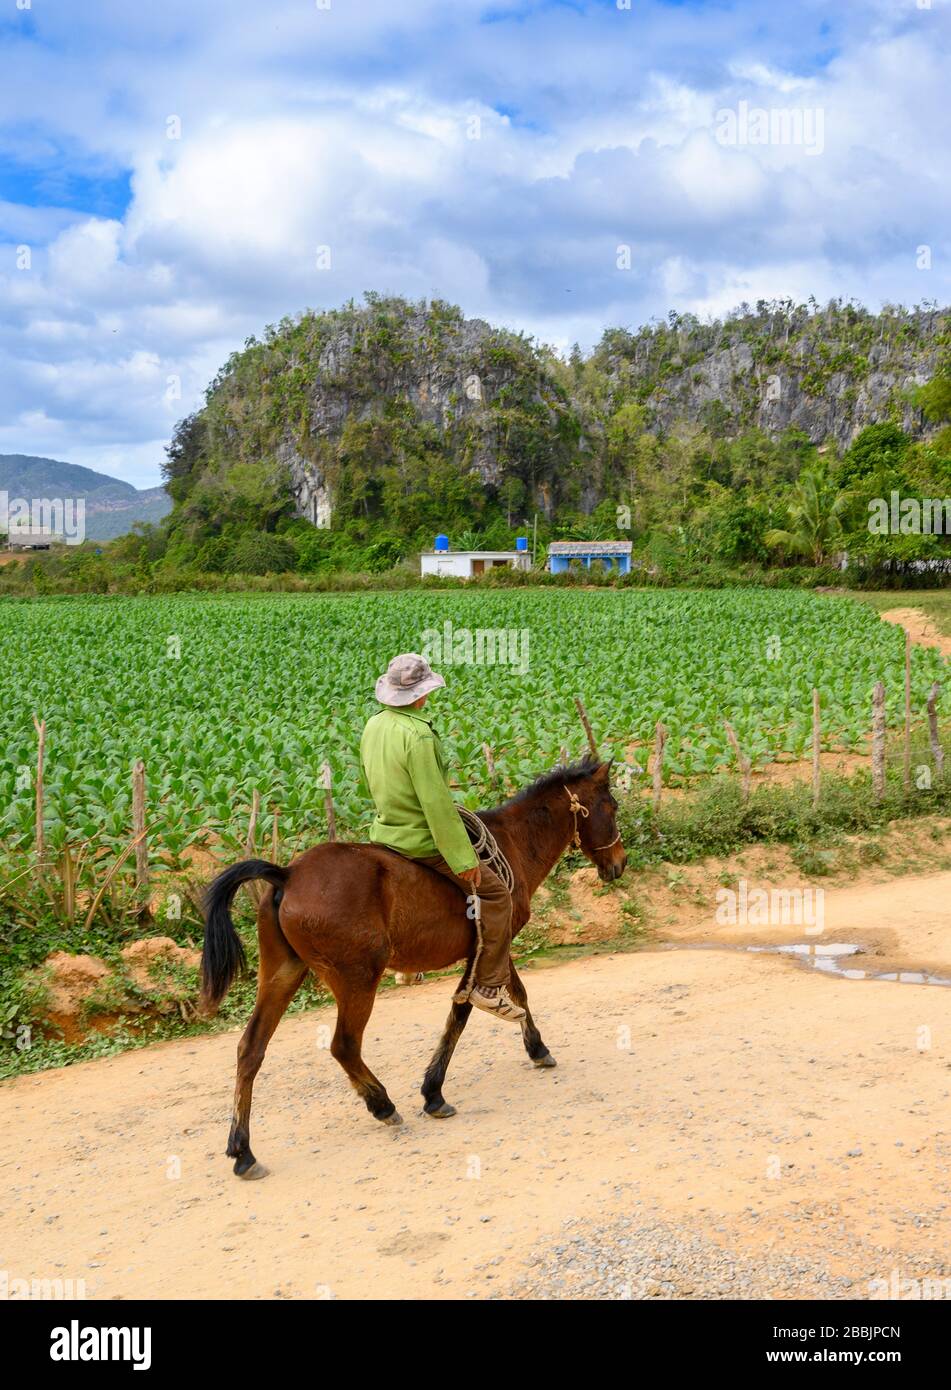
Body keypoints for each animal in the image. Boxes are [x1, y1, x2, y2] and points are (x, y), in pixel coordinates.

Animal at [202, 756, 622, 1178]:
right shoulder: (490, 939)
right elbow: (464, 1011)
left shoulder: (492, 944)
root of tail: (286, 875)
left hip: (283, 972)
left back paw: (243, 1150)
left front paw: (535, 1047)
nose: (620, 863)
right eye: (613, 806)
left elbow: (512, 992)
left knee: (251, 1049)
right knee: (344, 1045)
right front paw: (434, 1092)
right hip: (357, 978)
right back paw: (382, 1105)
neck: (513, 841)